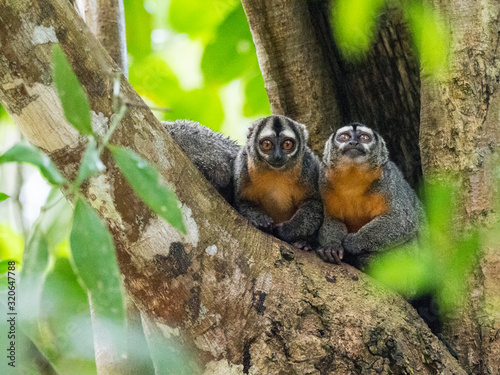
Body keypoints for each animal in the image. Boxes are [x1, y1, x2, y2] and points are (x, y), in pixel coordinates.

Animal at [233, 116, 322, 248]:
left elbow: (314, 202)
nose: (277, 156)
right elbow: (242, 200)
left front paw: (285, 230)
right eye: (267, 144)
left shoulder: (309, 165)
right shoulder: (243, 164)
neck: (276, 172)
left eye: (287, 144)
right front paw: (261, 220)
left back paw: (304, 244)